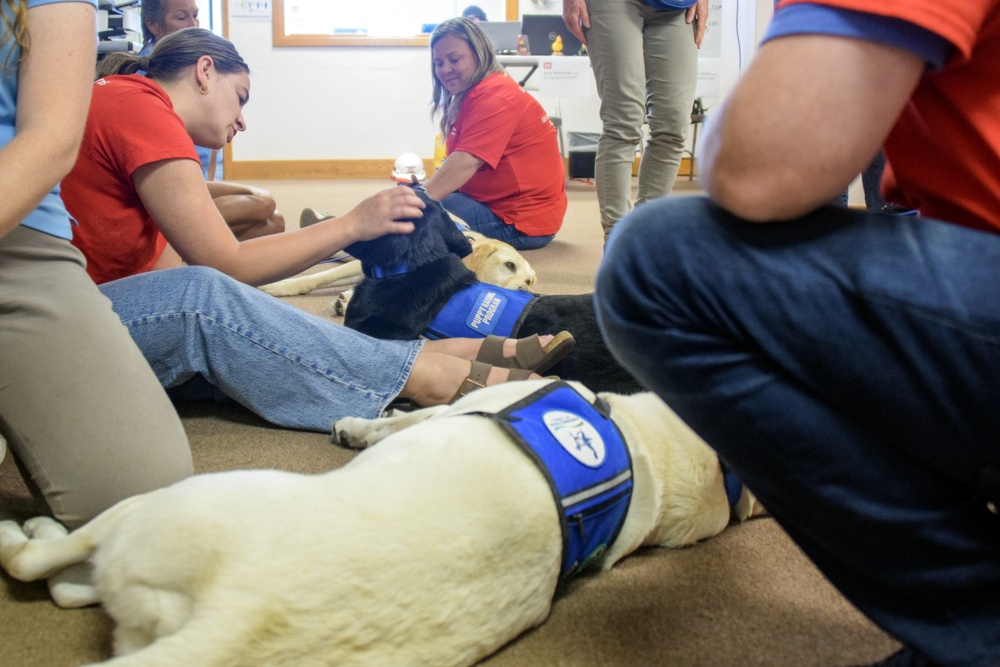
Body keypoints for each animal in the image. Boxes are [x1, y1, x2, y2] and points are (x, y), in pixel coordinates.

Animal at [0, 380, 756, 667]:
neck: (647, 446)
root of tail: (231, 623)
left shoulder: (461, 408)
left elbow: (400, 421)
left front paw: (360, 425)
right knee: (73, 587)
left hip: (164, 502)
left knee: (39, 565)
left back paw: (25, 532)